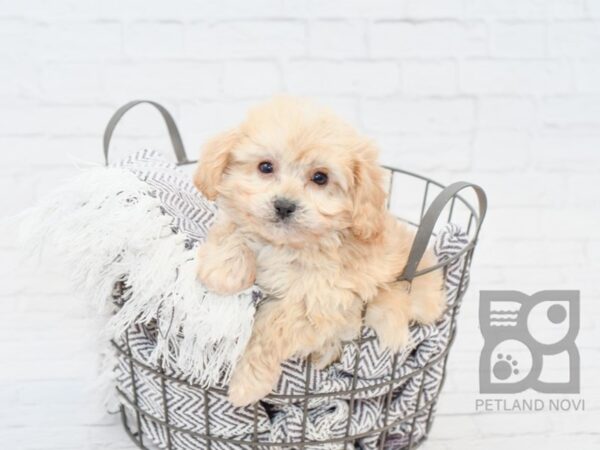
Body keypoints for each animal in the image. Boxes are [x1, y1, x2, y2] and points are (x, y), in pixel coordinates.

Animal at [193, 97, 446, 408]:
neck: (287, 246)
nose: (284, 206)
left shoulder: (319, 302)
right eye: (265, 166)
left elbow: (271, 328)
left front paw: (247, 384)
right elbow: (232, 228)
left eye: (320, 178)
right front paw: (224, 271)